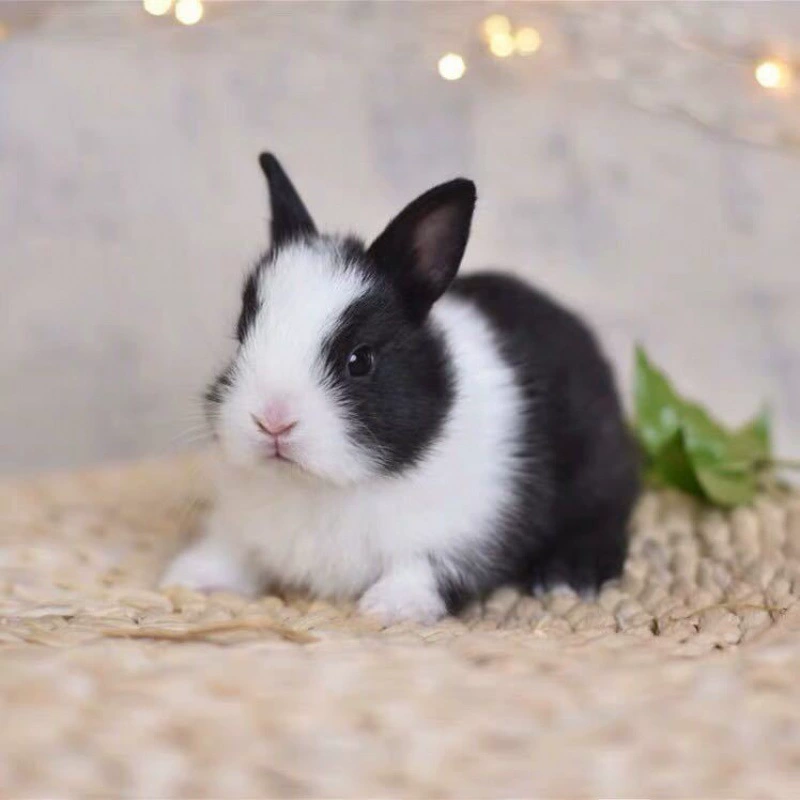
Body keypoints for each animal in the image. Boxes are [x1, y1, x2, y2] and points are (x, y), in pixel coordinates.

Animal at [159, 152, 640, 624]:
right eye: (242, 337)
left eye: (360, 360)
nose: (272, 421)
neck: (323, 484)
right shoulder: (242, 526)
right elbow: (232, 550)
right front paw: (188, 577)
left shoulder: (465, 532)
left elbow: (422, 568)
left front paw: (387, 607)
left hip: (597, 468)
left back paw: (568, 576)